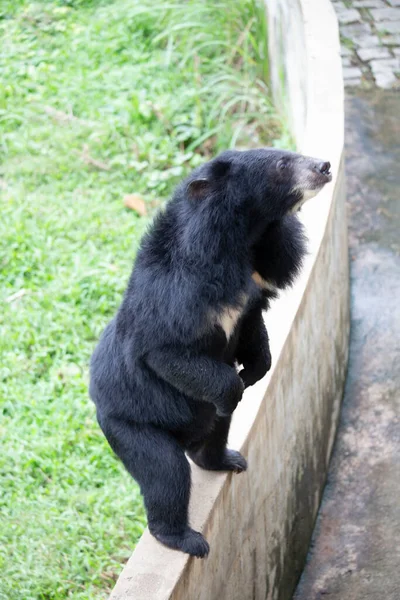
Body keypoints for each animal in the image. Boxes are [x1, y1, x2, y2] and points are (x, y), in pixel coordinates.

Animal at [90, 149, 332, 556]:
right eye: (282, 164)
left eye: (292, 155)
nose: (325, 166)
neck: (245, 239)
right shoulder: (179, 297)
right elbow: (168, 351)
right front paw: (237, 384)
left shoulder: (261, 279)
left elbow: (253, 327)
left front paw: (254, 370)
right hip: (131, 422)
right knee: (166, 472)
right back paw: (185, 539)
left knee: (215, 433)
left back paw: (226, 459)